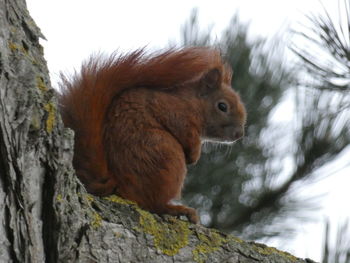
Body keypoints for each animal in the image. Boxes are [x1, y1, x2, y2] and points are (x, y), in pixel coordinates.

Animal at [58, 46, 246, 224]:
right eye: (222, 106)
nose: (239, 134)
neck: (193, 103)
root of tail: (118, 184)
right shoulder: (173, 112)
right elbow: (187, 134)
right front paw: (194, 155)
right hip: (168, 156)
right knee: (153, 204)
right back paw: (179, 210)